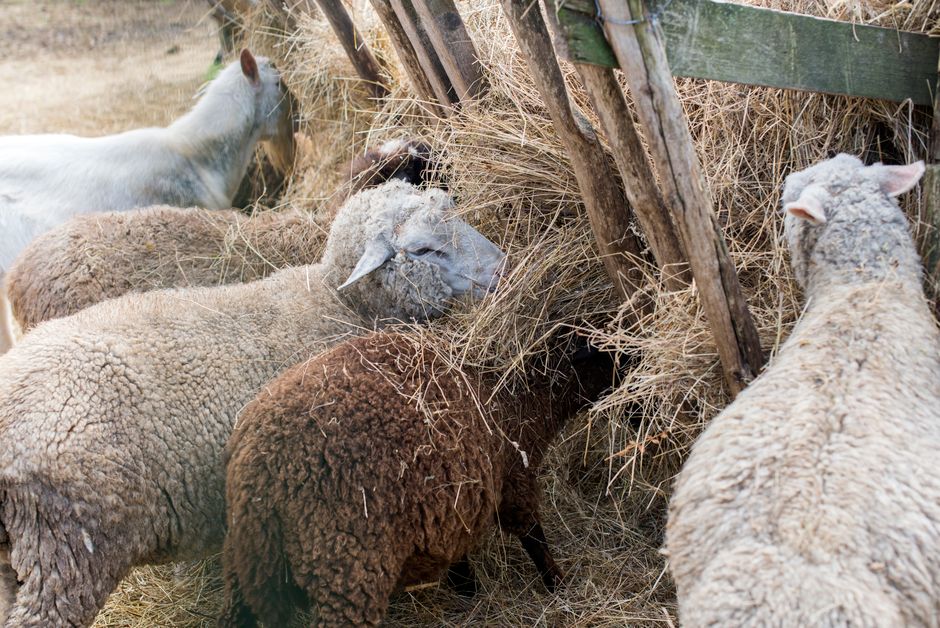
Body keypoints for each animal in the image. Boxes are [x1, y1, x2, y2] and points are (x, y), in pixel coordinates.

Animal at [218, 329, 619, 627]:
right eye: (605, 350)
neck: (518, 392)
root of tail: (260, 472)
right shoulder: (512, 475)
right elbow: (533, 534)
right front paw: (557, 583)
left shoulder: (457, 496)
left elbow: (459, 545)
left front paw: (467, 587)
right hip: (345, 573)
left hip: (241, 566)